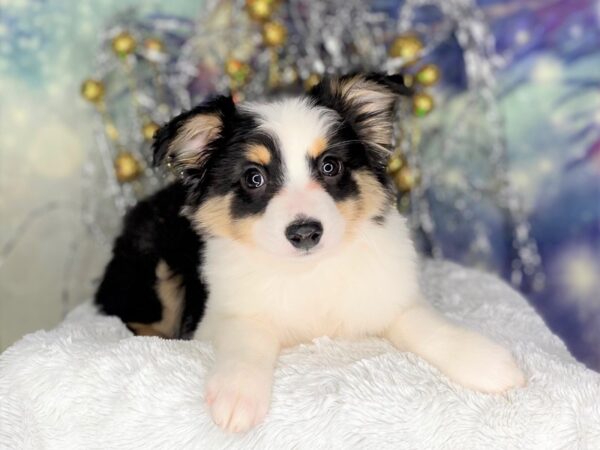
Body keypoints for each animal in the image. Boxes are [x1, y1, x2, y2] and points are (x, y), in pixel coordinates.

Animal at [95, 73, 524, 432]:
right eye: (254, 177)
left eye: (330, 166)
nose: (305, 233)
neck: (308, 272)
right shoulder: (223, 313)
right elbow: (247, 336)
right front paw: (237, 394)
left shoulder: (386, 295)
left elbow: (424, 323)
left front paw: (485, 361)